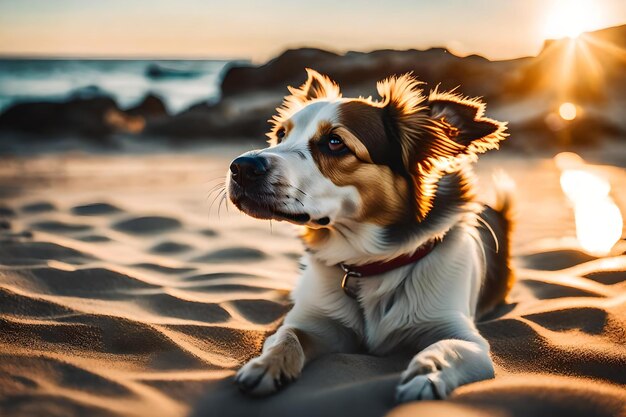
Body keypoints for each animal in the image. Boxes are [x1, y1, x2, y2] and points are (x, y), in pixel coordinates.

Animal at [224, 70, 512, 402]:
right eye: (281, 135)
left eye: (335, 142)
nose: (240, 167)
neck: (367, 262)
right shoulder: (317, 322)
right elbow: (287, 336)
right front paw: (266, 364)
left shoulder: (464, 336)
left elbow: (445, 348)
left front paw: (426, 374)